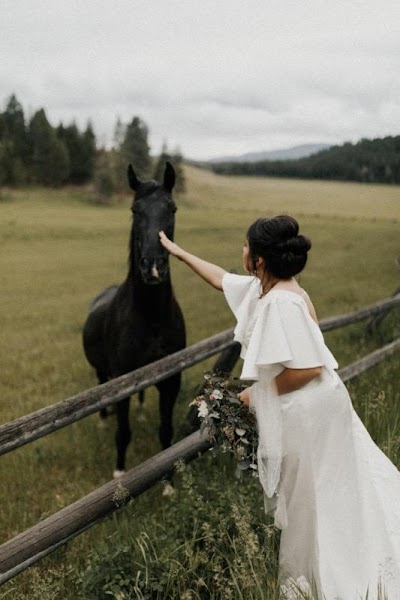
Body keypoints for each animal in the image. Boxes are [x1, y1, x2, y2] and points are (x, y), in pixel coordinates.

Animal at [83, 162, 187, 476]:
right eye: (134, 209)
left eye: (172, 208)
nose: (152, 267)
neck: (150, 318)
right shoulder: (121, 382)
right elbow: (123, 433)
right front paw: (119, 474)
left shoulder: (171, 379)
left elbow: (166, 431)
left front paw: (169, 482)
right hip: (103, 372)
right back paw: (103, 420)